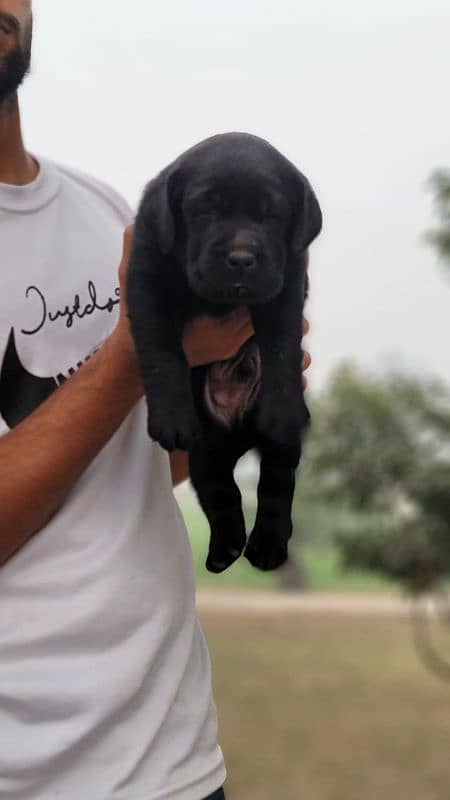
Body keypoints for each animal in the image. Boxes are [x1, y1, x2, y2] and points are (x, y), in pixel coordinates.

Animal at [127, 134, 320, 576]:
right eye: (205, 210)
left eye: (271, 214)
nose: (242, 259)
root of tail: (238, 434)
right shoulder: (147, 279)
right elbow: (162, 354)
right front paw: (170, 419)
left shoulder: (285, 282)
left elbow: (282, 348)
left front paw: (283, 408)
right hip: (205, 450)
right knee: (221, 493)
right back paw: (224, 551)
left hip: (278, 448)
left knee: (276, 485)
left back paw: (266, 548)